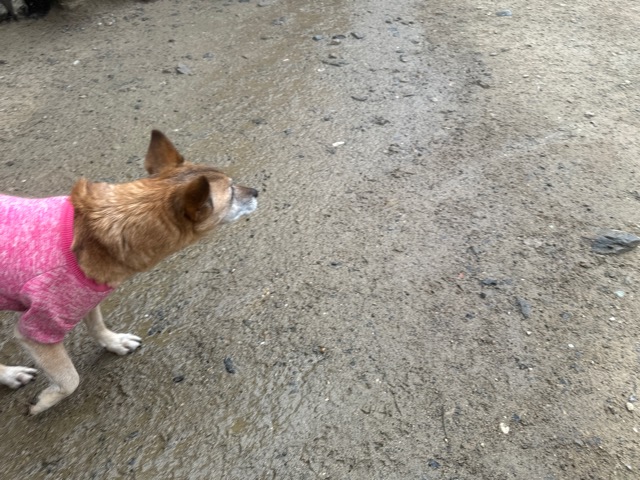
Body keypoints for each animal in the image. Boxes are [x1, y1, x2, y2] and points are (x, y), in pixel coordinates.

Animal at [0, 130, 258, 414]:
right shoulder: (38, 328)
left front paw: (113, 342)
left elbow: (97, 325)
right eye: (232, 192)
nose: (257, 191)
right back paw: (10, 374)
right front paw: (44, 401)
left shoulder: (85, 297)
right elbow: (70, 379)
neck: (97, 233)